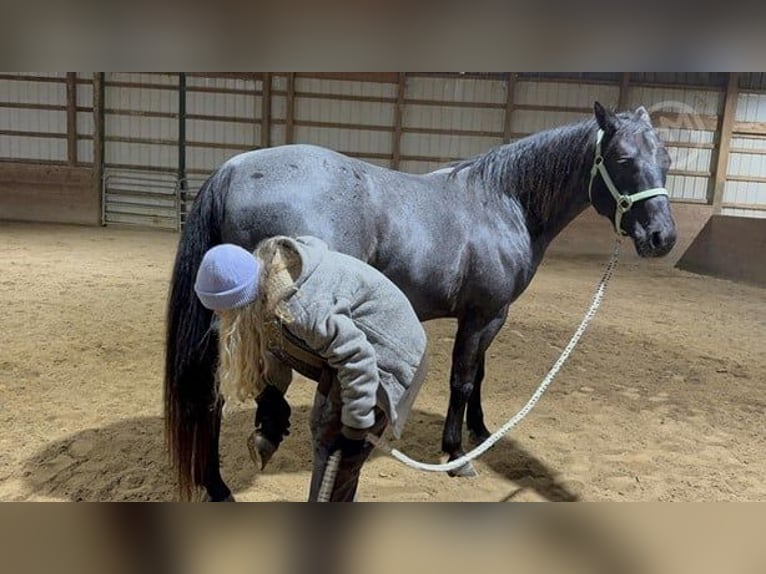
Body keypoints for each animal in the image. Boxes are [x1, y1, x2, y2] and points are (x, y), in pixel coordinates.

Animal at [165, 102, 677, 501]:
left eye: (667, 159)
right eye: (623, 158)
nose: (662, 237)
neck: (503, 201)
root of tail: (232, 170)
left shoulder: (488, 315)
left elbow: (480, 374)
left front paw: (481, 433)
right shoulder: (484, 315)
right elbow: (463, 381)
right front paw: (457, 454)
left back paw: (221, 480)